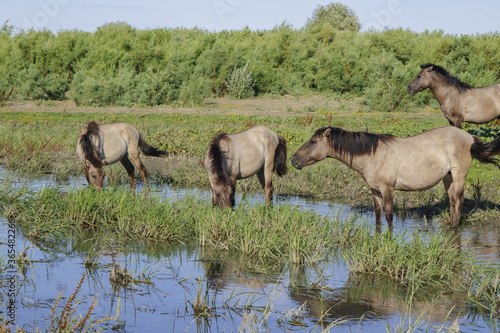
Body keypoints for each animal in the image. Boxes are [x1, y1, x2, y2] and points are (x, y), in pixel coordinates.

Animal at [290, 125, 500, 228]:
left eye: (313, 141)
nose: (293, 159)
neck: (372, 155)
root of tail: (470, 137)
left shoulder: (387, 188)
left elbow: (390, 215)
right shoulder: (374, 189)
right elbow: (378, 214)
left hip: (458, 175)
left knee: (459, 200)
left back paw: (455, 227)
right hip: (447, 177)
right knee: (452, 200)